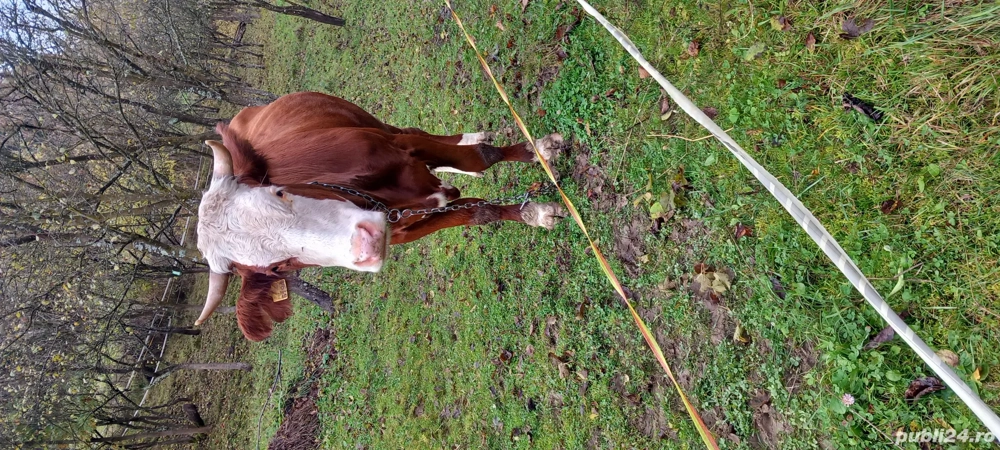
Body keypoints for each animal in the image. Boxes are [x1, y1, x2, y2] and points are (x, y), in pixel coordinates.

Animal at [194, 92, 567, 341]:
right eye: (277, 268)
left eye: (278, 192)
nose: (366, 245)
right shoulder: (407, 228)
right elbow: (478, 212)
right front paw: (534, 211)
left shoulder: (401, 147)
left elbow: (482, 156)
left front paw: (537, 150)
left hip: (370, 120)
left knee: (415, 130)